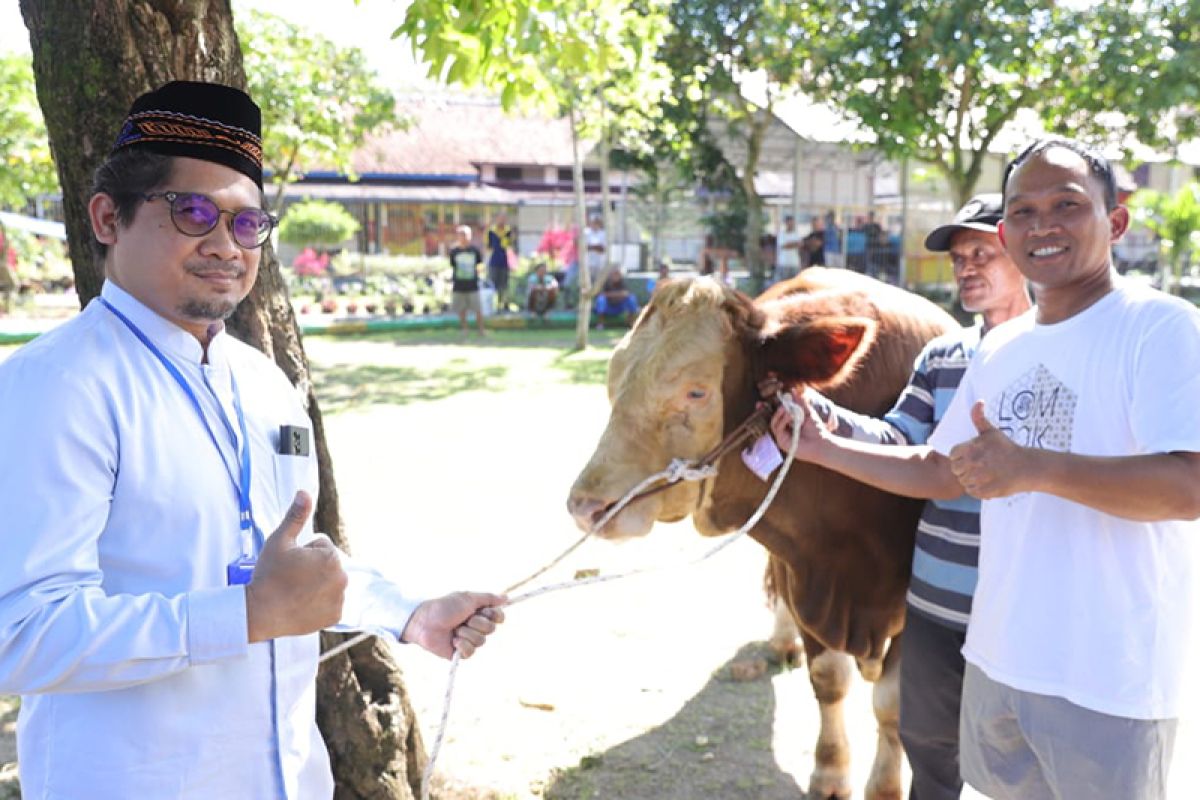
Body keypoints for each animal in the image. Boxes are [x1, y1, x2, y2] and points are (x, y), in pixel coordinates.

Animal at [568, 271, 955, 800]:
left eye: (696, 393)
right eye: (614, 379)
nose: (587, 506)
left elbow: (891, 703)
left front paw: (884, 785)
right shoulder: (806, 570)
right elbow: (829, 679)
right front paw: (830, 772)